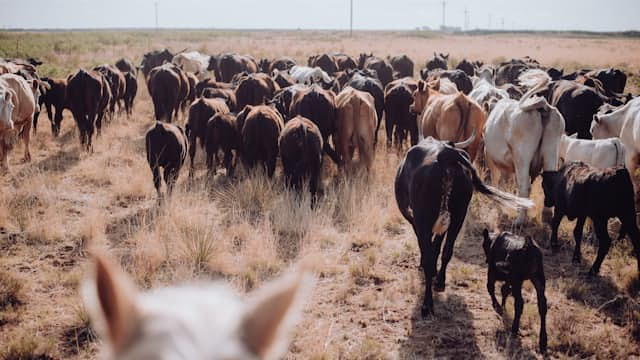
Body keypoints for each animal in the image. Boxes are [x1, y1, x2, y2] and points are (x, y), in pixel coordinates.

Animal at [398, 135, 532, 316]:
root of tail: (446, 152)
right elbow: (437, 246)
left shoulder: (414, 217)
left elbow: (428, 248)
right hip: (458, 216)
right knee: (447, 250)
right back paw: (440, 282)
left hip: (425, 218)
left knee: (429, 255)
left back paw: (427, 304)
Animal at [484, 70, 564, 224]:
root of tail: (541, 106)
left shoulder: (492, 159)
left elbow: (497, 182)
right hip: (551, 151)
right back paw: (546, 216)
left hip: (522, 158)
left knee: (523, 186)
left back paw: (520, 219)